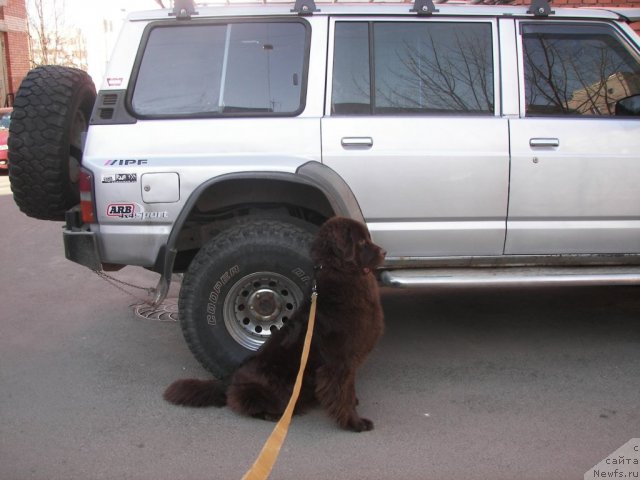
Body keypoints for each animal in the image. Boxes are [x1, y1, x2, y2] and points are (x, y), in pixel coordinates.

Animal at [165, 218, 384, 432]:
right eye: (362, 242)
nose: (384, 252)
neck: (343, 275)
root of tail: (229, 377)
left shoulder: (349, 359)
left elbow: (349, 388)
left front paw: (354, 405)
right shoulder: (339, 361)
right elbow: (343, 394)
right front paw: (354, 423)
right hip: (270, 386)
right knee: (245, 403)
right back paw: (274, 415)